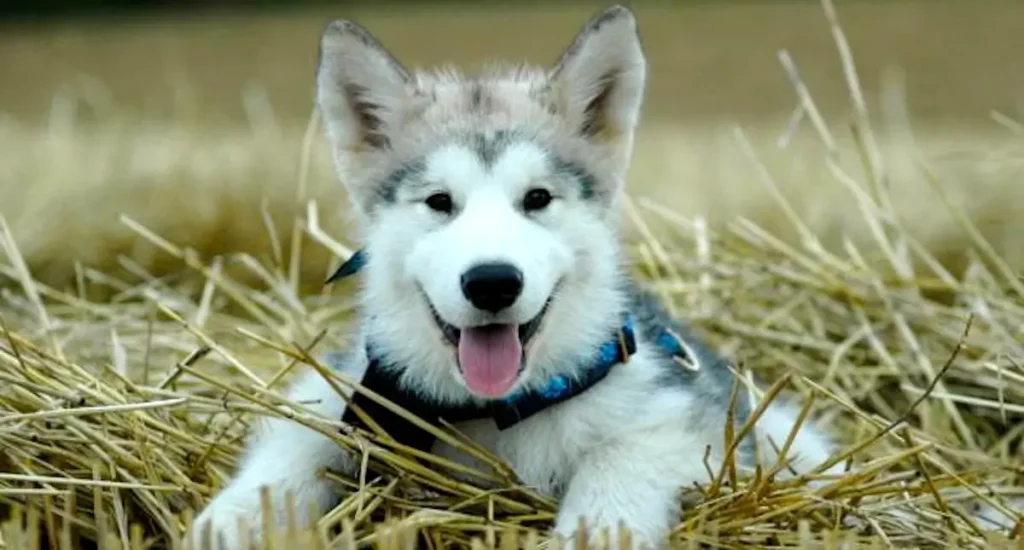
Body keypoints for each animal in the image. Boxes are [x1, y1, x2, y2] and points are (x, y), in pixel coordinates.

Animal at [190, 5, 839, 548]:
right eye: (439, 201)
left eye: (537, 198)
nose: (493, 282)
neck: (496, 410)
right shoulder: (348, 388)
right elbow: (297, 440)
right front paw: (236, 516)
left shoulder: (676, 416)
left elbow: (619, 464)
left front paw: (595, 529)